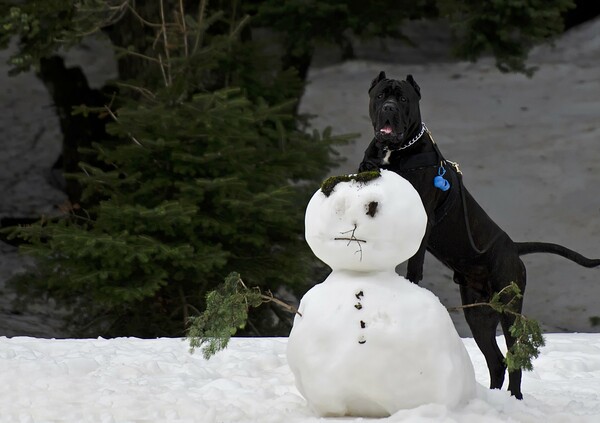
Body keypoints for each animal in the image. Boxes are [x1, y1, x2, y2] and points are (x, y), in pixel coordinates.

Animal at [358, 71, 596, 400]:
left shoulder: (423, 217)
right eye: (381, 95)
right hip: (479, 314)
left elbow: (414, 263)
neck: (395, 152)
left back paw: (514, 398)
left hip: (509, 307)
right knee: (496, 360)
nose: (390, 108)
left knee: (514, 358)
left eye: (403, 98)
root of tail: (513, 247)